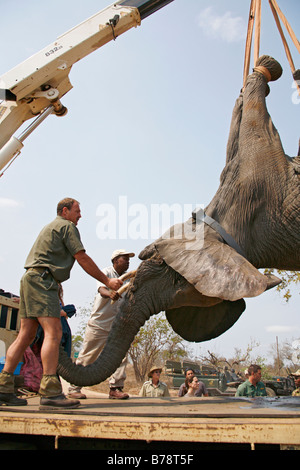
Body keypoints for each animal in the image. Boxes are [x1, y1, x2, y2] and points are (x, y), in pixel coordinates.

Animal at [58, 55, 300, 386]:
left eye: (161, 273)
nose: (62, 315)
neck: (216, 226)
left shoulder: (261, 172)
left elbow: (251, 118)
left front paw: (266, 67)